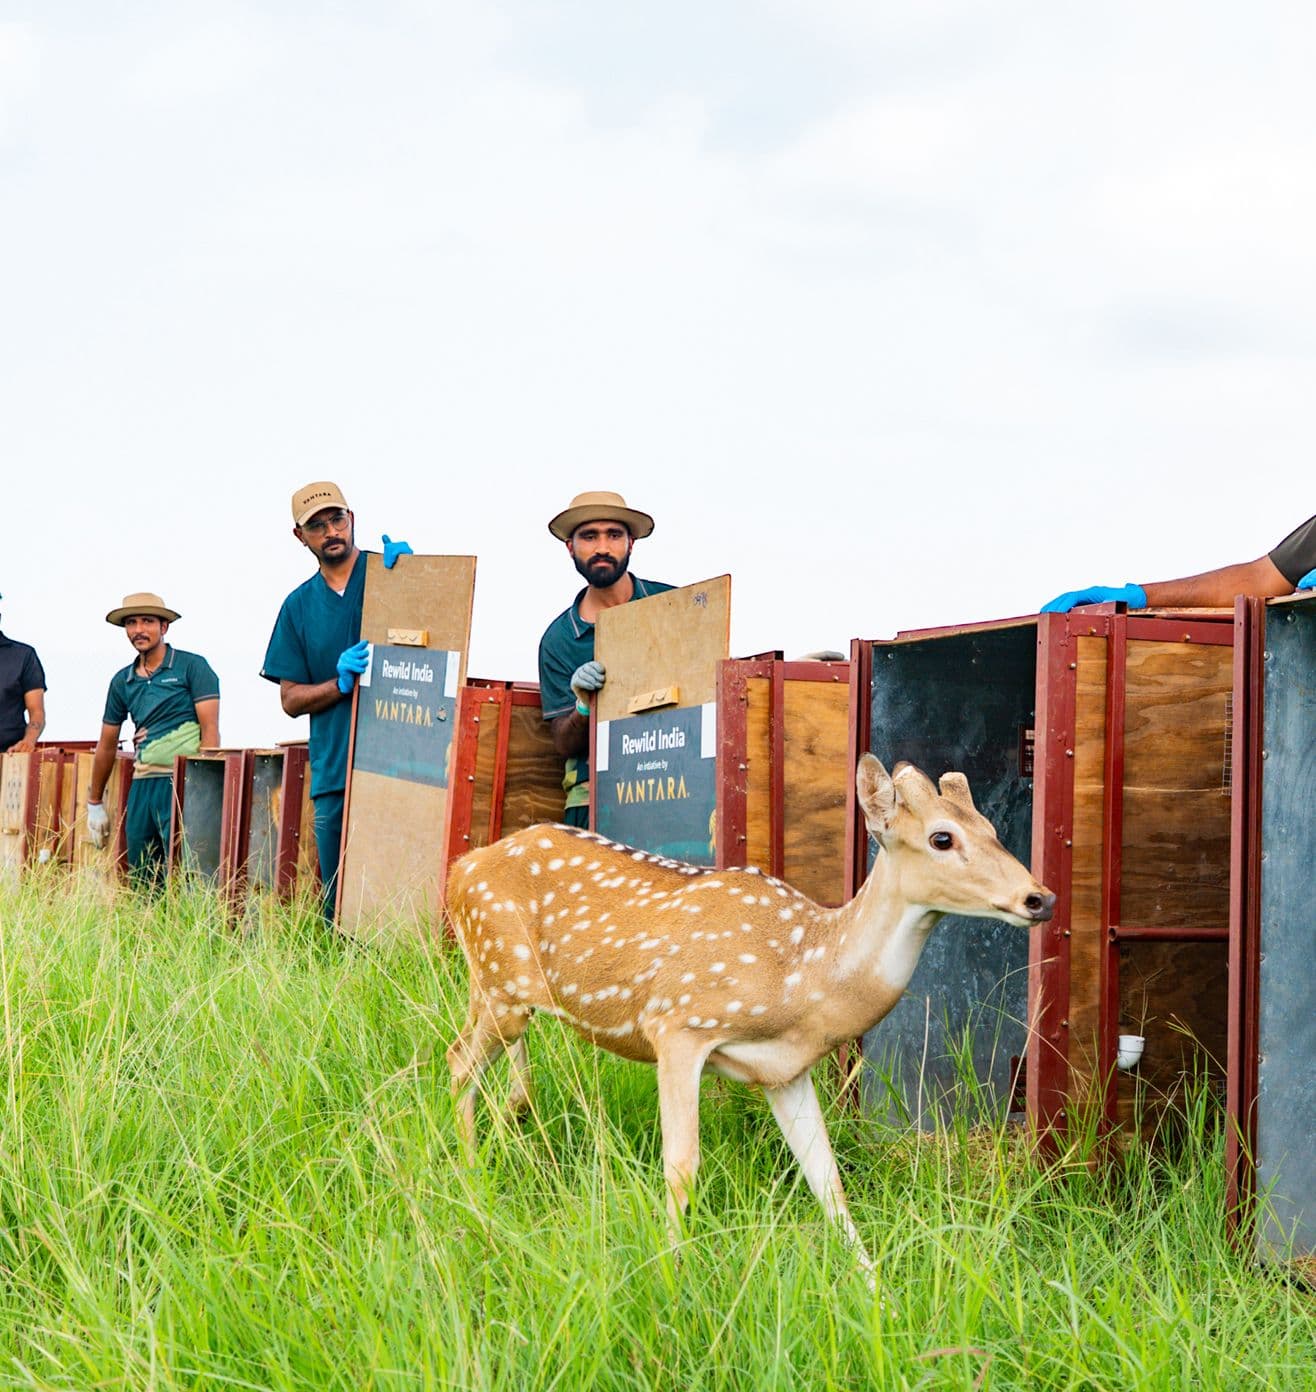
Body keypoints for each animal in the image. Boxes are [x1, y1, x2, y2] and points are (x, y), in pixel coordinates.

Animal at [445, 754, 1054, 1284]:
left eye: (992, 827)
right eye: (941, 838)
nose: (1040, 898)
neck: (801, 979)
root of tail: (458, 870)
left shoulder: (785, 1072)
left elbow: (827, 1180)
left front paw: (876, 1294)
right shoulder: (677, 1025)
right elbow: (681, 1166)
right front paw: (671, 1278)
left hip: (498, 991)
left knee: (491, 1070)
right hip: (500, 985)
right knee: (458, 1064)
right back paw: (472, 1187)